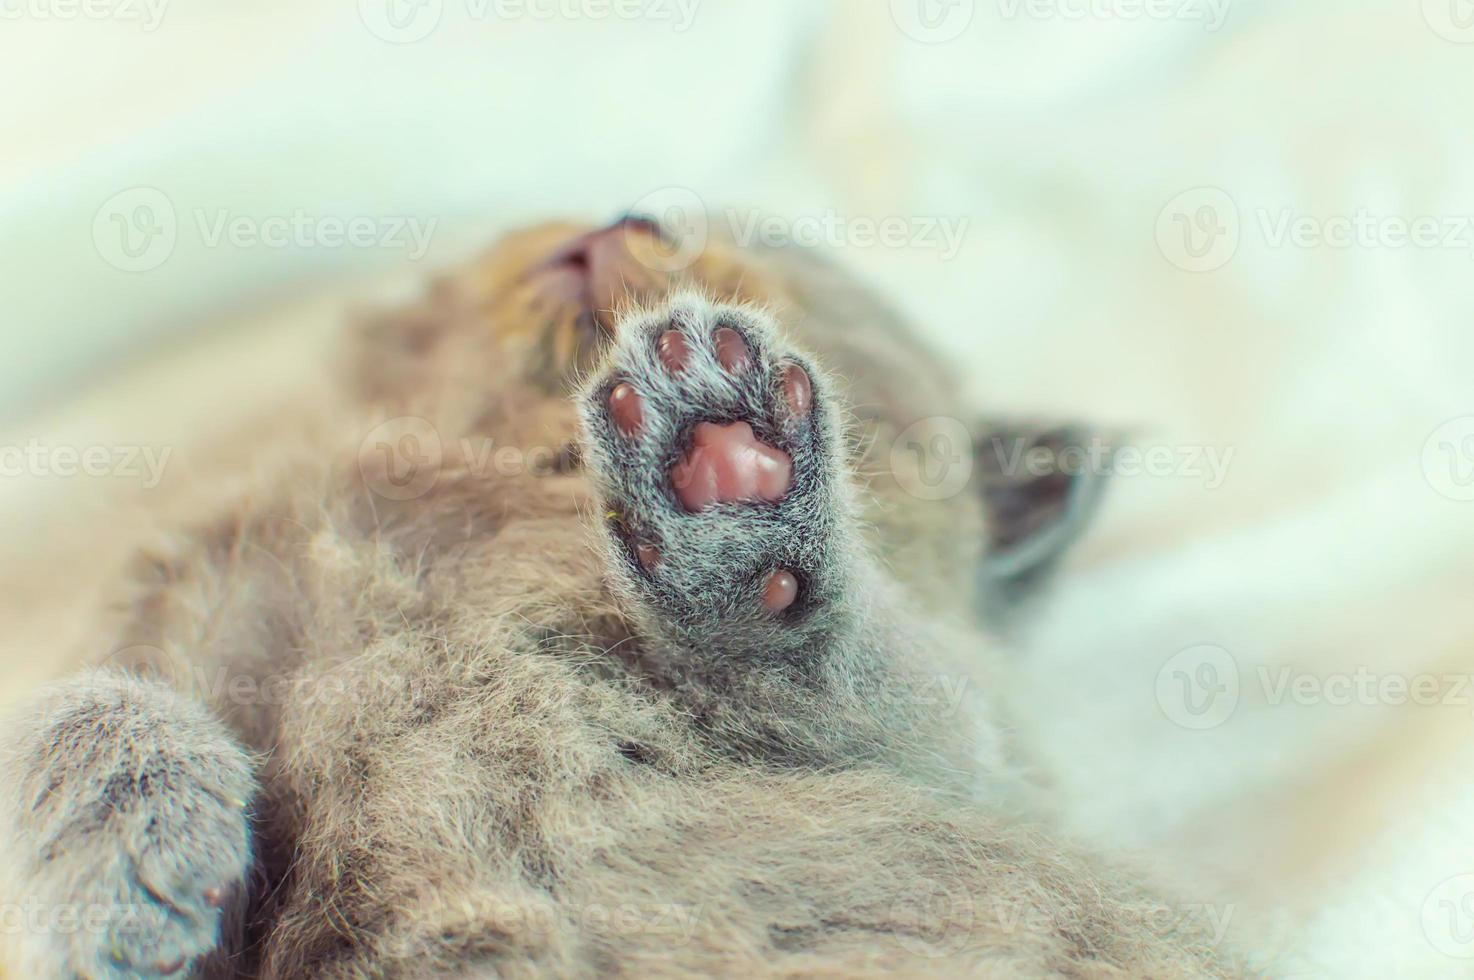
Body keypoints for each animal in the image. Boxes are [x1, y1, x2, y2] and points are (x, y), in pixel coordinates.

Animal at [0, 218, 1232, 972]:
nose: (617, 221)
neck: (465, 506)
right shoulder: (181, 605)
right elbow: (95, 701)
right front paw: (123, 890)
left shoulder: (977, 760)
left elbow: (865, 663)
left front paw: (731, 487)